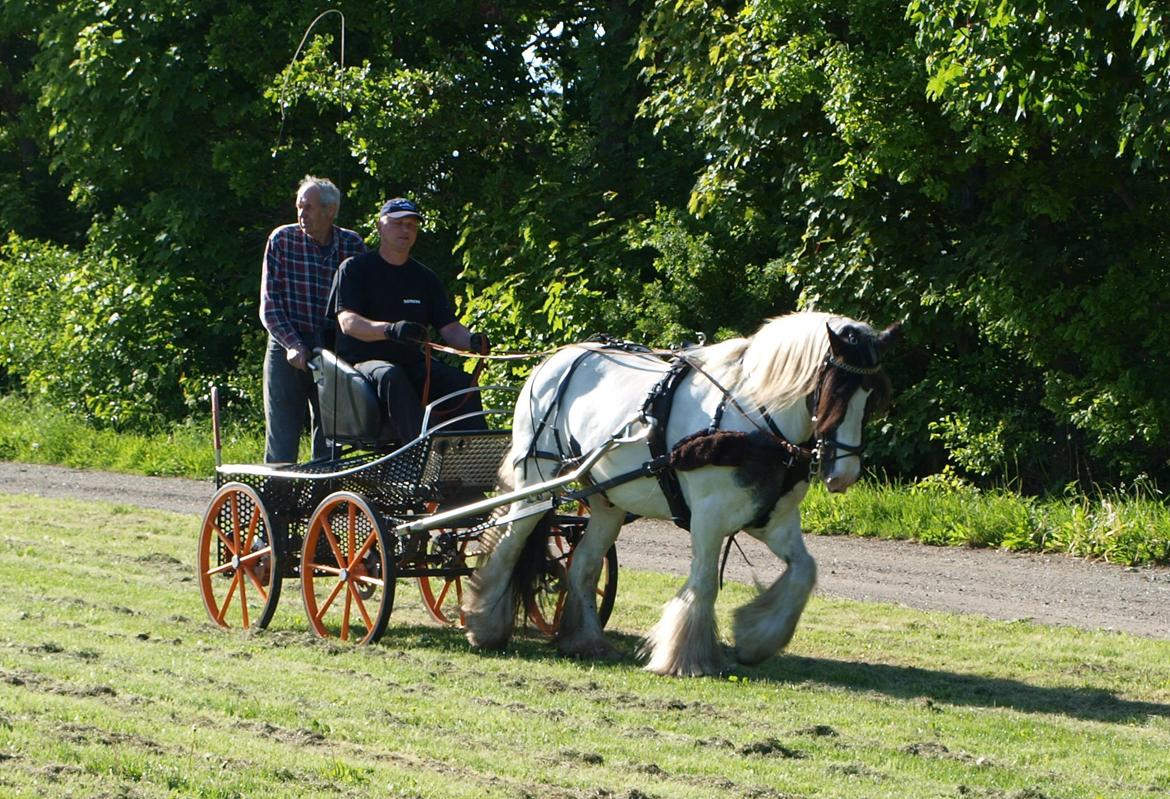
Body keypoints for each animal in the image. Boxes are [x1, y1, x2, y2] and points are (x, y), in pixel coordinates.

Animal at [458, 313, 893, 673]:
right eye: (835, 391)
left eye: (871, 395)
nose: (844, 474)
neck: (753, 419)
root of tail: (554, 361)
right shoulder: (708, 516)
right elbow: (703, 583)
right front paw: (686, 659)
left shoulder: (773, 518)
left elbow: (804, 570)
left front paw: (755, 639)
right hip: (536, 479)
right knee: (509, 543)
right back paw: (482, 624)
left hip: (607, 501)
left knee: (581, 566)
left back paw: (584, 641)